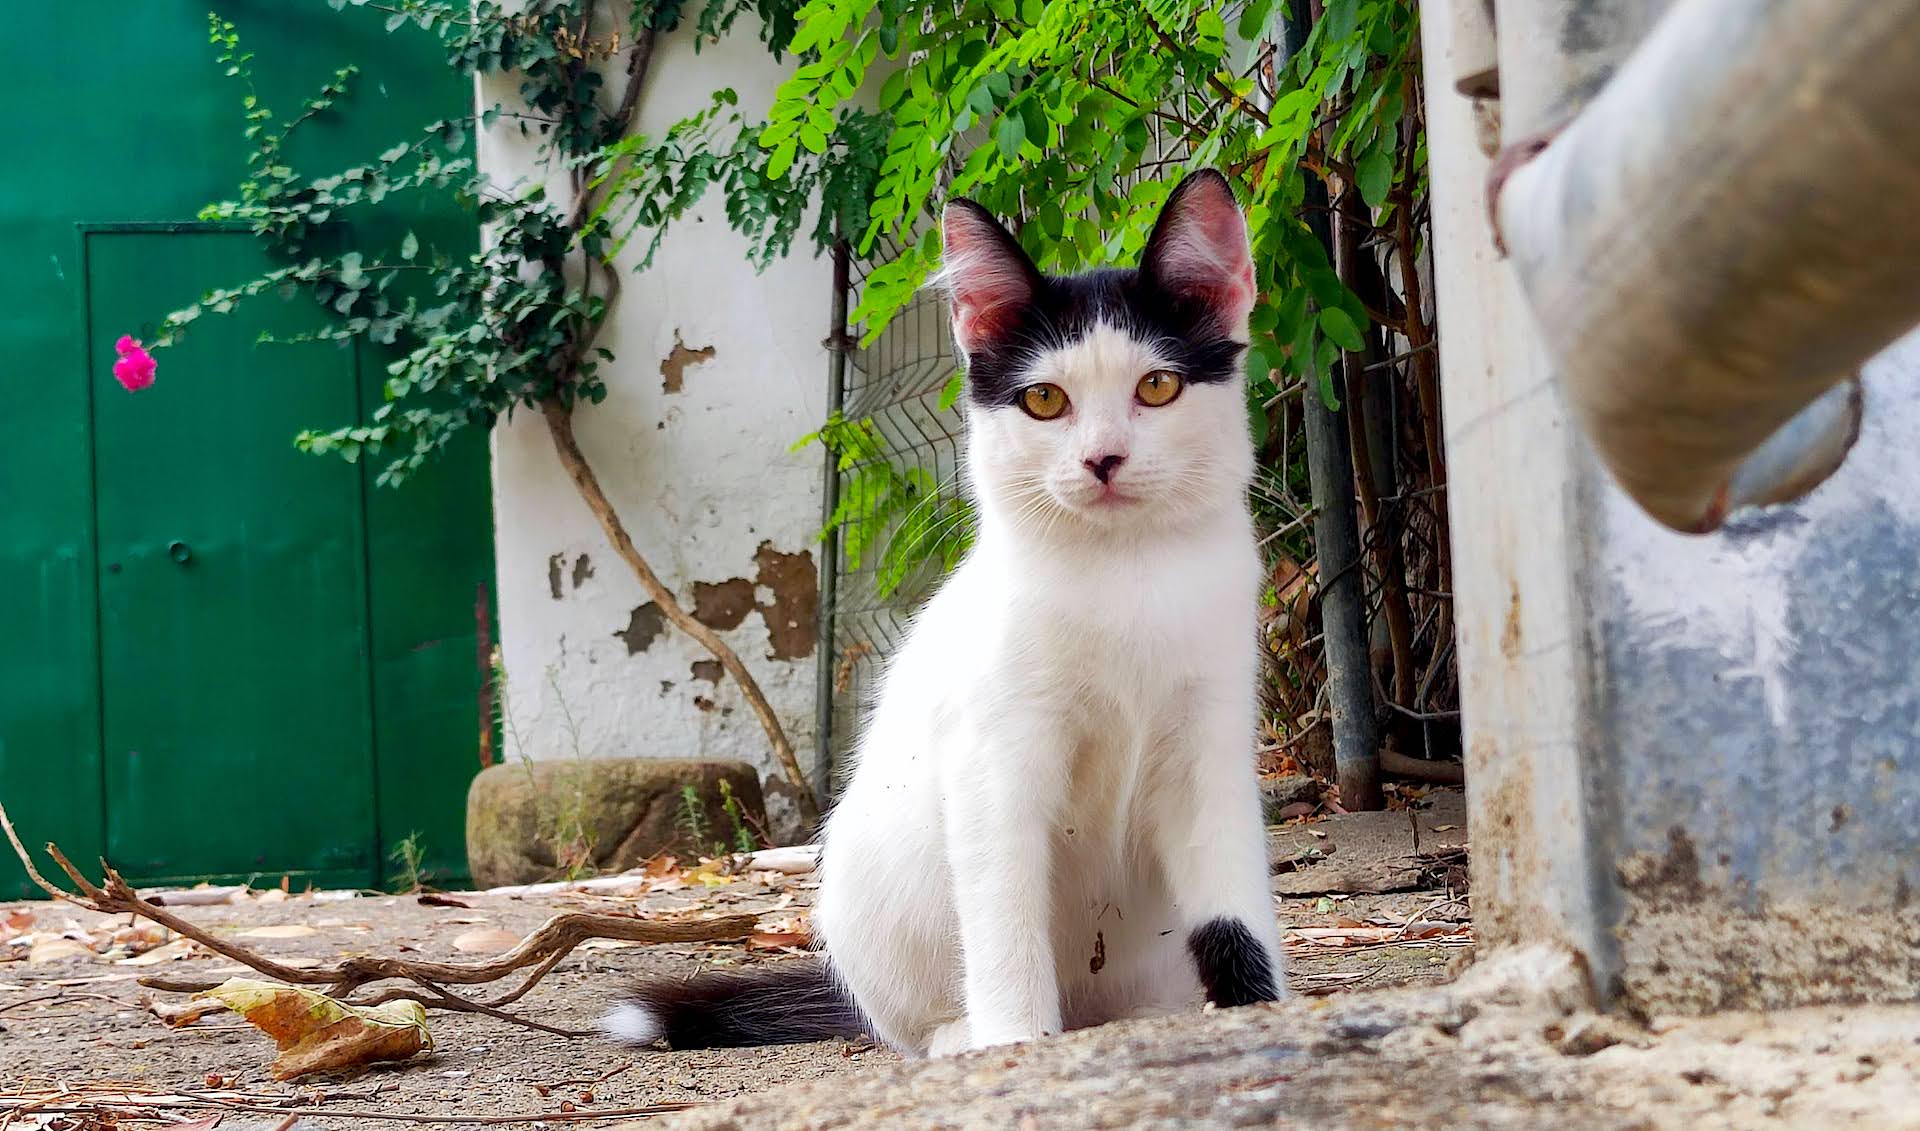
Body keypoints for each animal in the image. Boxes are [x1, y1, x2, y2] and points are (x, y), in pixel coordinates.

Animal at [606, 169, 1282, 1059]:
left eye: (1158, 386)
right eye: (1044, 399)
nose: (1102, 458)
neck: (1123, 572)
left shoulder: (1211, 742)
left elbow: (1236, 908)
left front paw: (1261, 1014)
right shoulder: (992, 759)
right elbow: (1004, 916)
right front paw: (1015, 1041)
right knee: (918, 1017)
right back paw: (964, 1034)